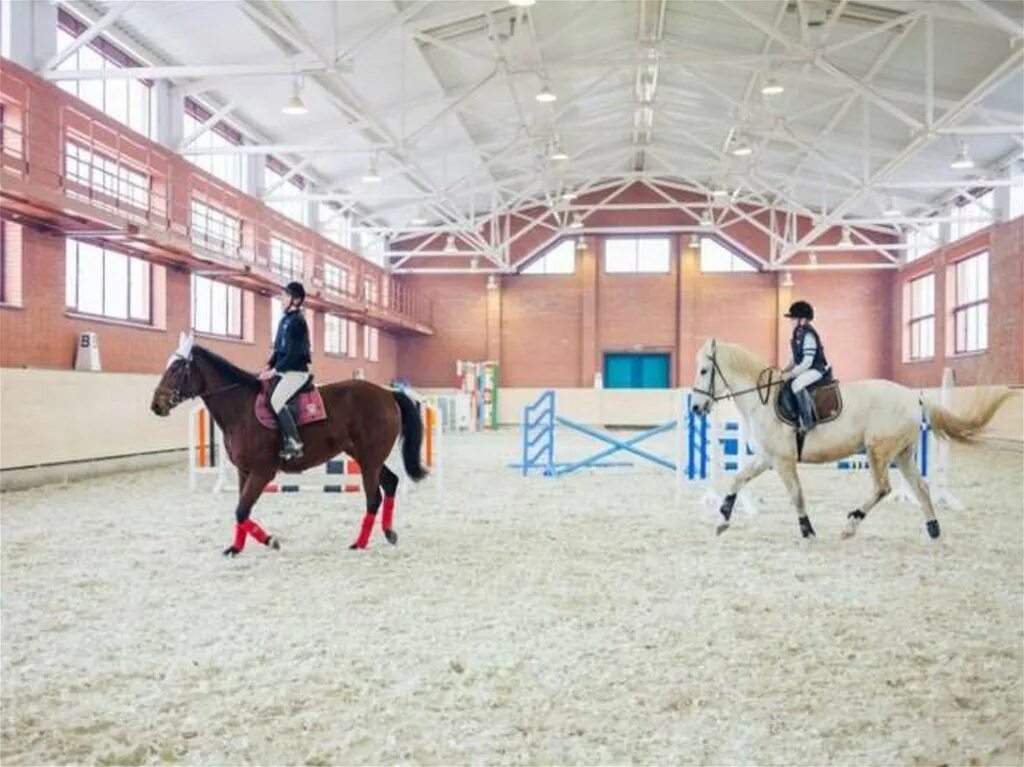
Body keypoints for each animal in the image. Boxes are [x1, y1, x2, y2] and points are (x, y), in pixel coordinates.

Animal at [149, 331, 425, 552]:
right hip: (368, 458)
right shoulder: (244, 471)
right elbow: (241, 511)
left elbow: (241, 510)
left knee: (374, 498)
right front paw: (237, 547)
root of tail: (388, 394)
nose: (156, 406)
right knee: (390, 483)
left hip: (369, 461)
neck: (241, 408)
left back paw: (360, 543)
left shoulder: (262, 472)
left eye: (176, 369)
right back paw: (388, 533)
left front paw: (270, 541)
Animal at [692, 337, 1011, 540]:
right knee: (920, 488)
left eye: (704, 370)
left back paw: (851, 525)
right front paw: (722, 519)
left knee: (883, 488)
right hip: (902, 454)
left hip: (878, 451)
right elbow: (737, 480)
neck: (764, 399)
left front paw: (808, 531)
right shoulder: (766, 457)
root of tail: (913, 396)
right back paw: (933, 530)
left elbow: (796, 495)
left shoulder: (783, 461)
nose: (696, 408)